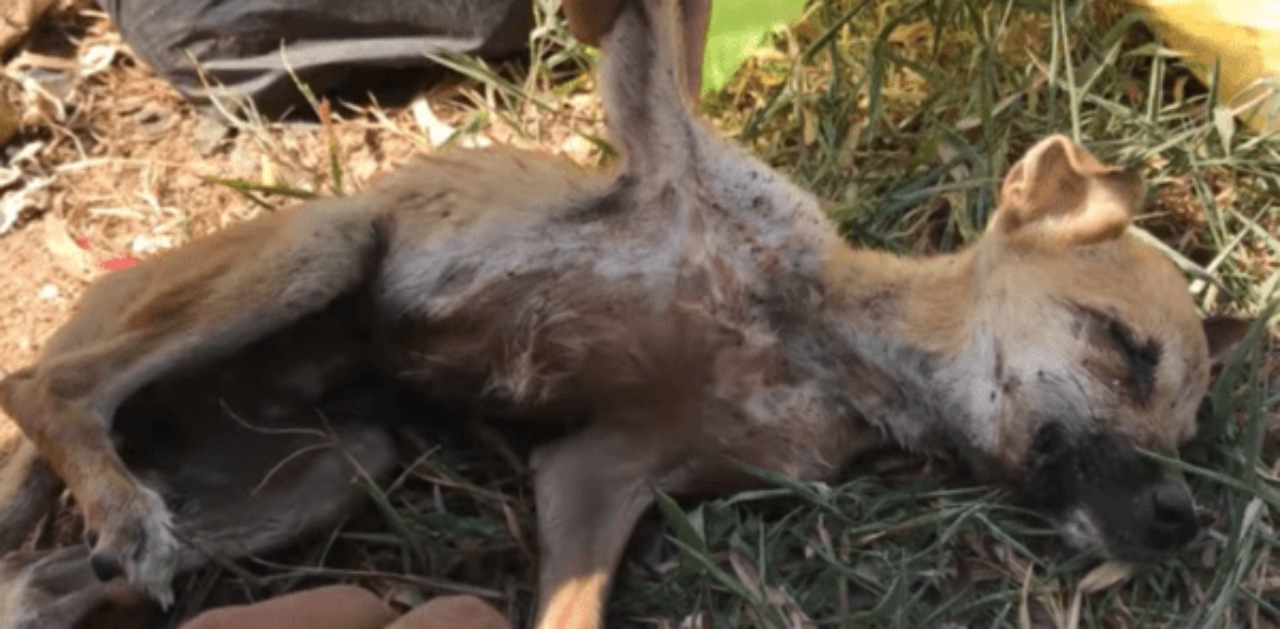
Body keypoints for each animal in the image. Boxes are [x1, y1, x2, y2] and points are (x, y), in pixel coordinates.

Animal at [0, 0, 1249, 627]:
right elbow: (656, 31)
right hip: (324, 250)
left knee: (43, 569)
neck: (820, 340)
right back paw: (114, 495)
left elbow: (571, 603)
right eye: (1124, 348)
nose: (1185, 519)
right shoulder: (661, 129)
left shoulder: (602, 471)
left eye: (1188, 431)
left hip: (326, 465)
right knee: (45, 385)